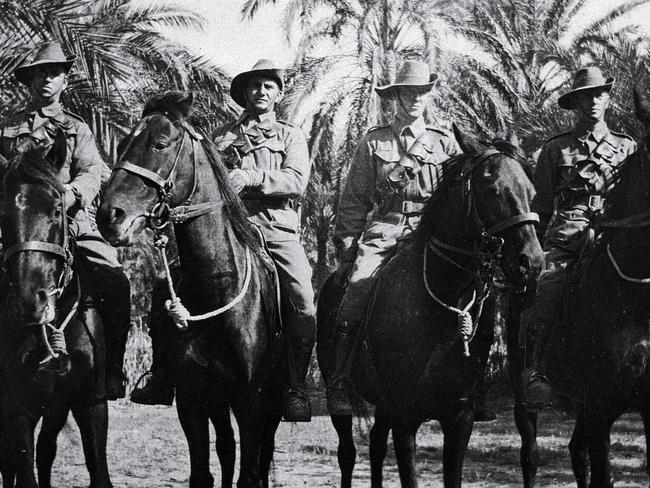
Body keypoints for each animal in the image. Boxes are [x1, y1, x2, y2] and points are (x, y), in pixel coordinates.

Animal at [0, 134, 112, 488]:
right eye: (3, 216)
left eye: (57, 209)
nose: (29, 302)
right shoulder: (17, 408)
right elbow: (24, 469)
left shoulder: (89, 402)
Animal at [97, 91, 284, 488]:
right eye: (121, 144)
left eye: (160, 144)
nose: (109, 216)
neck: (218, 288)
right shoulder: (193, 398)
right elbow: (204, 471)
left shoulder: (251, 400)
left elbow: (250, 471)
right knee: (226, 447)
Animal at [316, 125, 544, 484]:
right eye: (492, 188)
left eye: (531, 190)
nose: (531, 262)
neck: (441, 301)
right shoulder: (405, 417)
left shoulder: (459, 418)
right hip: (340, 397)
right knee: (348, 453)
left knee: (376, 445)